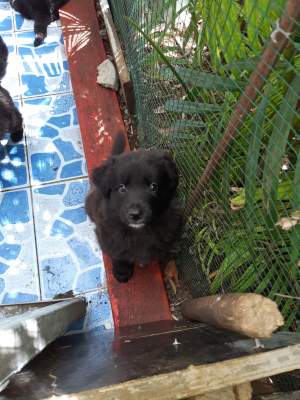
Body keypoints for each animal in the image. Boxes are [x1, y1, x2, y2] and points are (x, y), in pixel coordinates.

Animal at [85, 133, 183, 282]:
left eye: (154, 187)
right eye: (122, 188)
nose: (136, 214)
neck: (138, 231)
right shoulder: (109, 235)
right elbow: (118, 254)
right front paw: (122, 271)